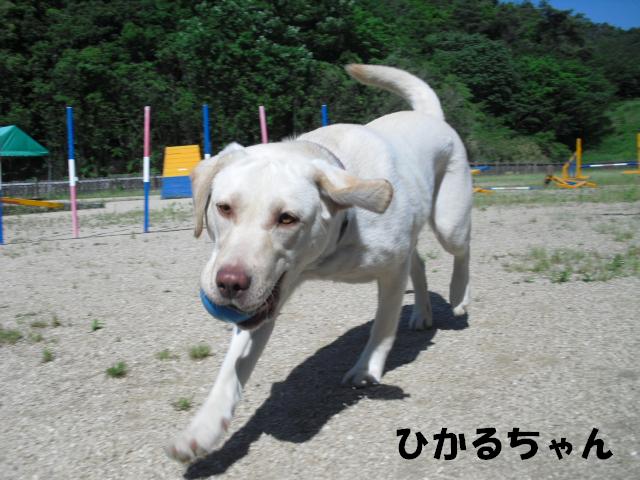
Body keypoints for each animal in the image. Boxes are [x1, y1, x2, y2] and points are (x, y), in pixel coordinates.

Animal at [168, 64, 472, 462]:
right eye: (224, 207)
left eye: (287, 218)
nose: (230, 283)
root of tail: (428, 115)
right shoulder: (272, 295)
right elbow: (231, 371)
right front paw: (203, 429)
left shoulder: (390, 269)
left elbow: (383, 326)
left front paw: (367, 368)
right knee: (418, 264)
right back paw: (422, 313)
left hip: (450, 221)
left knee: (461, 251)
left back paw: (459, 295)